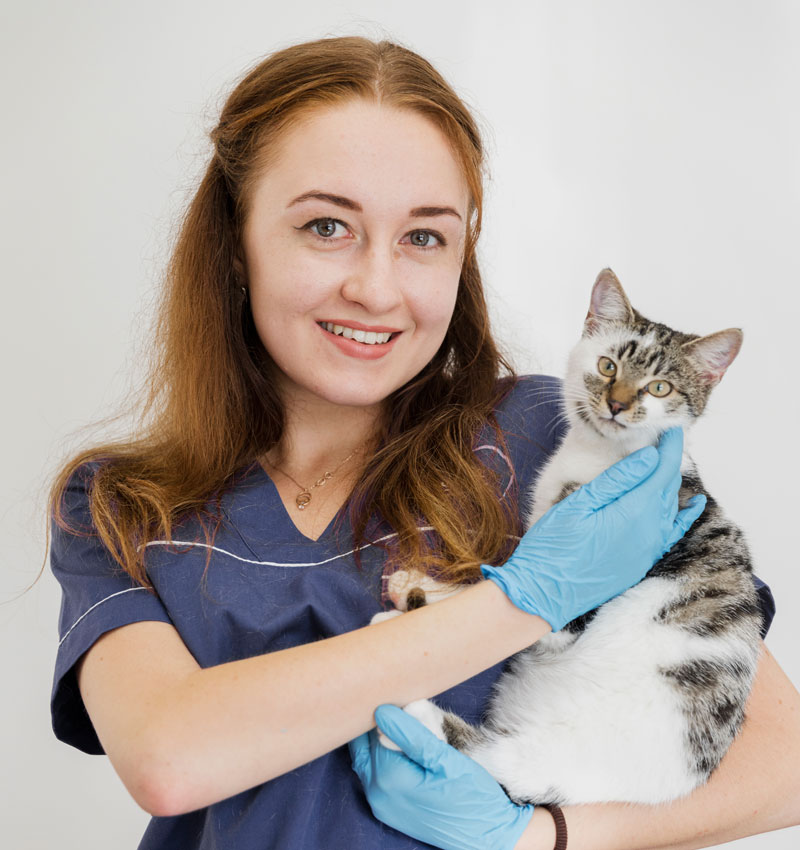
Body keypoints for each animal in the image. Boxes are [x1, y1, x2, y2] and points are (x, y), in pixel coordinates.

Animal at [376, 270, 764, 800]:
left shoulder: (581, 598)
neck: (599, 460)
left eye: (659, 387)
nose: (618, 403)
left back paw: (409, 715)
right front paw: (426, 587)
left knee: (489, 759)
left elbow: (520, 600)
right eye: (607, 365)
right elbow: (513, 574)